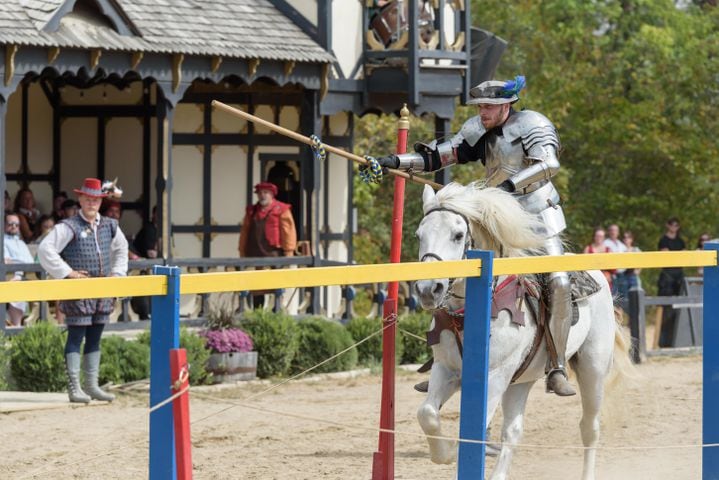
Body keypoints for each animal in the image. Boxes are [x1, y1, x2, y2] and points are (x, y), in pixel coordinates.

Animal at [416, 183, 632, 480]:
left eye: (458, 236)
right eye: (419, 235)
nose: (428, 289)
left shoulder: (495, 376)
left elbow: (474, 429)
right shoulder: (446, 369)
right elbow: (427, 413)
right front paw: (444, 454)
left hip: (593, 370)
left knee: (590, 428)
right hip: (521, 380)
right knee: (513, 432)